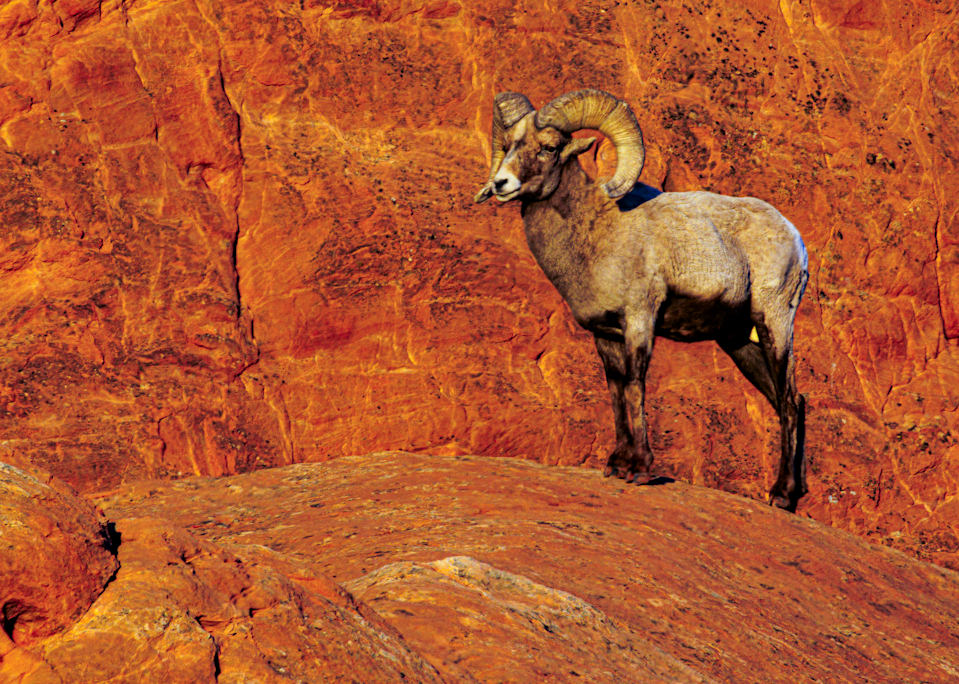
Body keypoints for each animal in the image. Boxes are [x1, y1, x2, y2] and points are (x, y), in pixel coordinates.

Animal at [475, 89, 809, 510]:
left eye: (550, 147)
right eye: (508, 145)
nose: (502, 183)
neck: (598, 232)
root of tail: (795, 237)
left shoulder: (639, 320)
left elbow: (635, 386)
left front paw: (639, 469)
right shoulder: (605, 335)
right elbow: (616, 391)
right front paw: (617, 464)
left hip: (773, 323)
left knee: (789, 400)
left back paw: (781, 495)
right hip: (737, 342)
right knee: (786, 401)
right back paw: (790, 495)